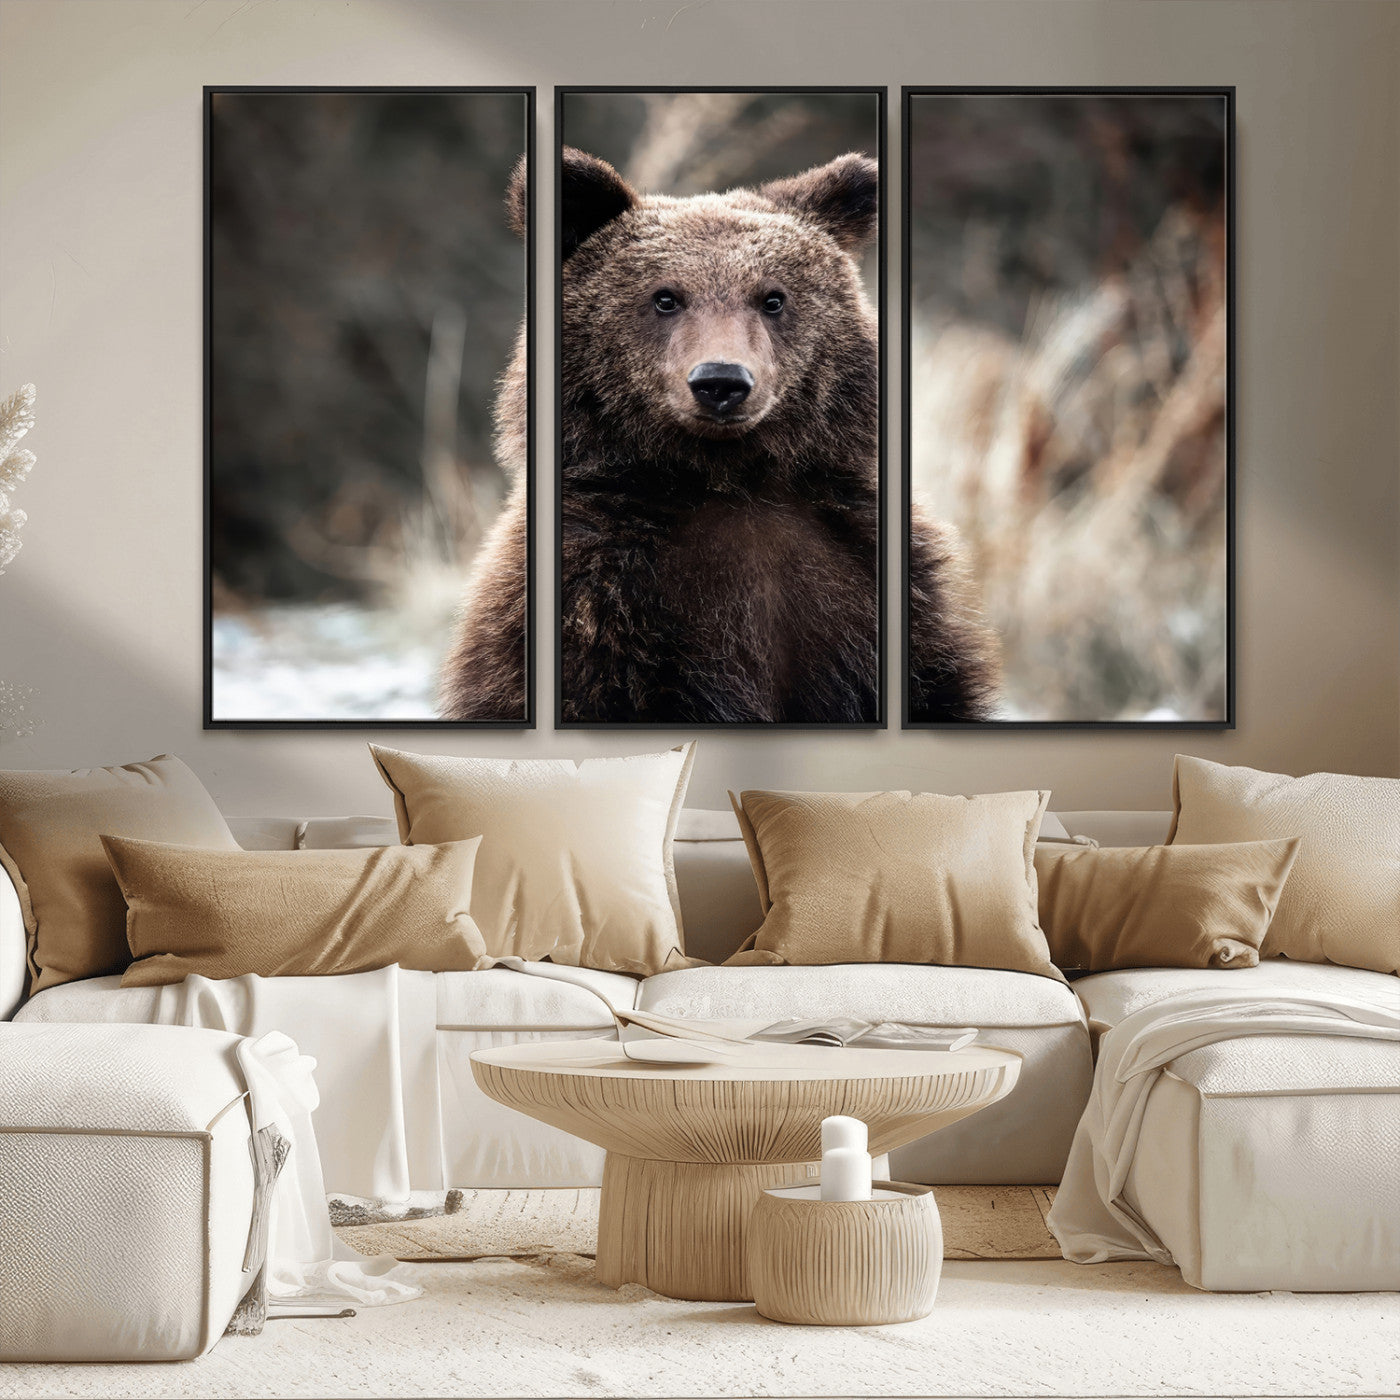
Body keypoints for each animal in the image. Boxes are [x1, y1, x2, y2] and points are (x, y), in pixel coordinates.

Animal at [439, 148, 998, 724]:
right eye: (665, 297)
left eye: (772, 298)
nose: (721, 381)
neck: (729, 478)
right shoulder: (599, 598)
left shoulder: (867, 577)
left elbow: (934, 685)